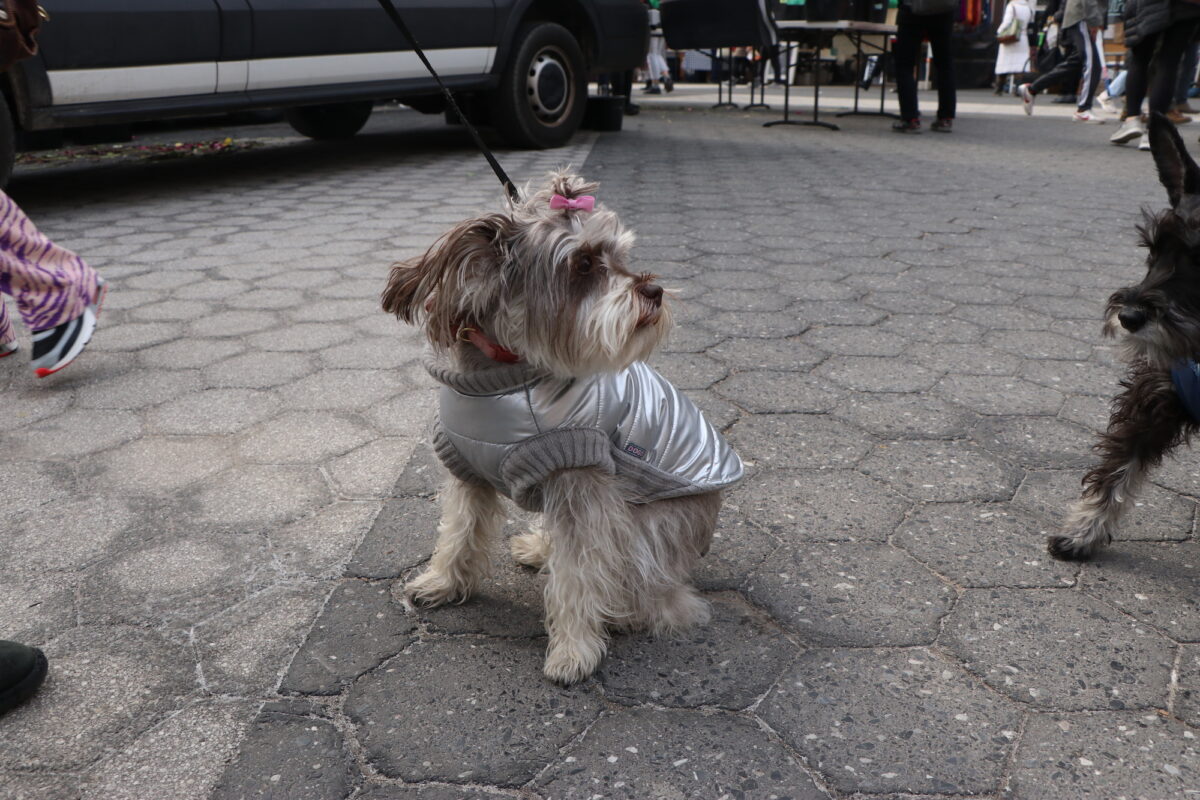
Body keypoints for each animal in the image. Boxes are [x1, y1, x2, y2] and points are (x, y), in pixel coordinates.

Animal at [381, 169, 739, 681]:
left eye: (621, 256)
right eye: (584, 264)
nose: (654, 291)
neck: (502, 376)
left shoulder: (580, 481)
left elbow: (579, 574)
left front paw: (573, 649)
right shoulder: (467, 469)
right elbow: (459, 532)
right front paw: (443, 581)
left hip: (641, 525)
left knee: (664, 594)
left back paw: (630, 611)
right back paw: (539, 549)